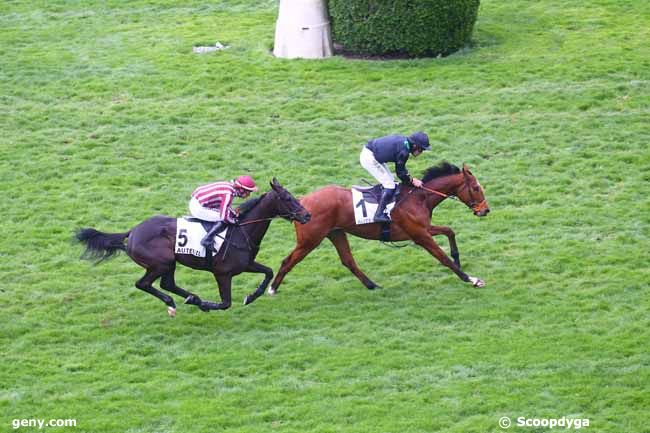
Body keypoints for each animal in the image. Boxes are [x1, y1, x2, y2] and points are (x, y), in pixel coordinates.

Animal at [76, 177, 308, 316]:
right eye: (287, 198)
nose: (307, 215)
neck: (242, 232)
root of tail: (133, 231)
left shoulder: (246, 264)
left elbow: (268, 272)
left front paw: (251, 296)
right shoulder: (222, 273)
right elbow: (226, 303)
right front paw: (207, 304)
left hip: (169, 263)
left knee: (167, 284)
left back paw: (191, 297)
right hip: (160, 263)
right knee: (143, 284)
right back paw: (174, 304)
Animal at [268, 162, 486, 294]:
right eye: (476, 188)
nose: (486, 210)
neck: (419, 197)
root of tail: (302, 202)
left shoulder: (423, 229)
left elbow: (449, 231)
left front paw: (458, 259)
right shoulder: (420, 235)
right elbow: (443, 258)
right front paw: (471, 279)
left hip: (336, 233)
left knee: (348, 261)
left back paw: (372, 285)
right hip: (310, 239)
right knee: (288, 261)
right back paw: (271, 290)